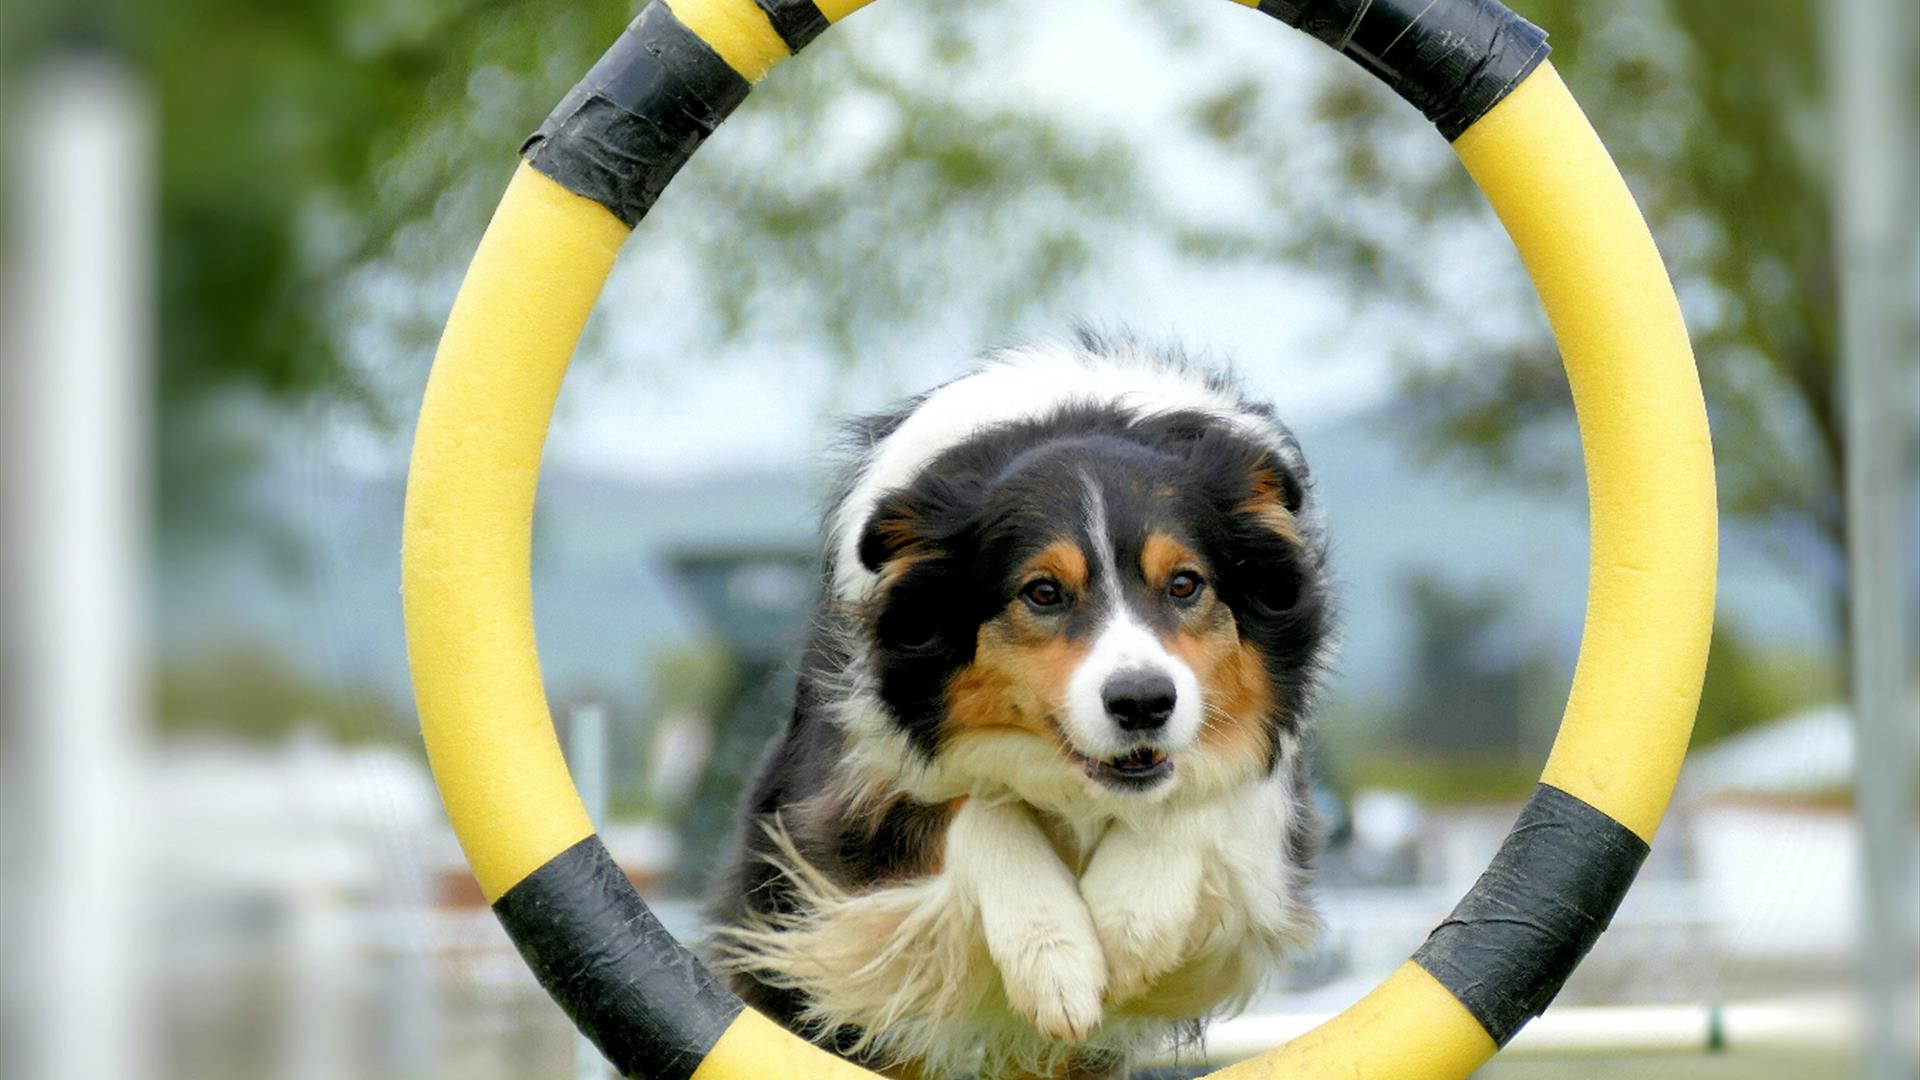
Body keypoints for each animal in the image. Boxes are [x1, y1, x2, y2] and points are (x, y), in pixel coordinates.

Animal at [710, 332, 1336, 1068]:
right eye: (1042, 593)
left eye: (1185, 584)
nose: (1143, 703)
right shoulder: (842, 810)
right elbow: (975, 809)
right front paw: (1057, 961)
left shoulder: (1270, 804)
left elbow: (1210, 790)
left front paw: (1125, 928)